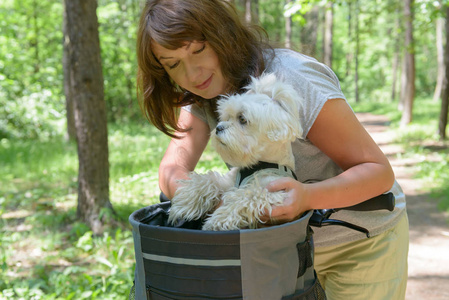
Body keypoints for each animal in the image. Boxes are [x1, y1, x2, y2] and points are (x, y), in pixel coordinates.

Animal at [169, 74, 304, 231]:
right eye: (227, 117)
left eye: (242, 119)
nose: (218, 128)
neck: (256, 165)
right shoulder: (229, 182)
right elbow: (209, 180)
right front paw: (185, 203)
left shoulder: (273, 192)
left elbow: (245, 196)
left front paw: (217, 221)